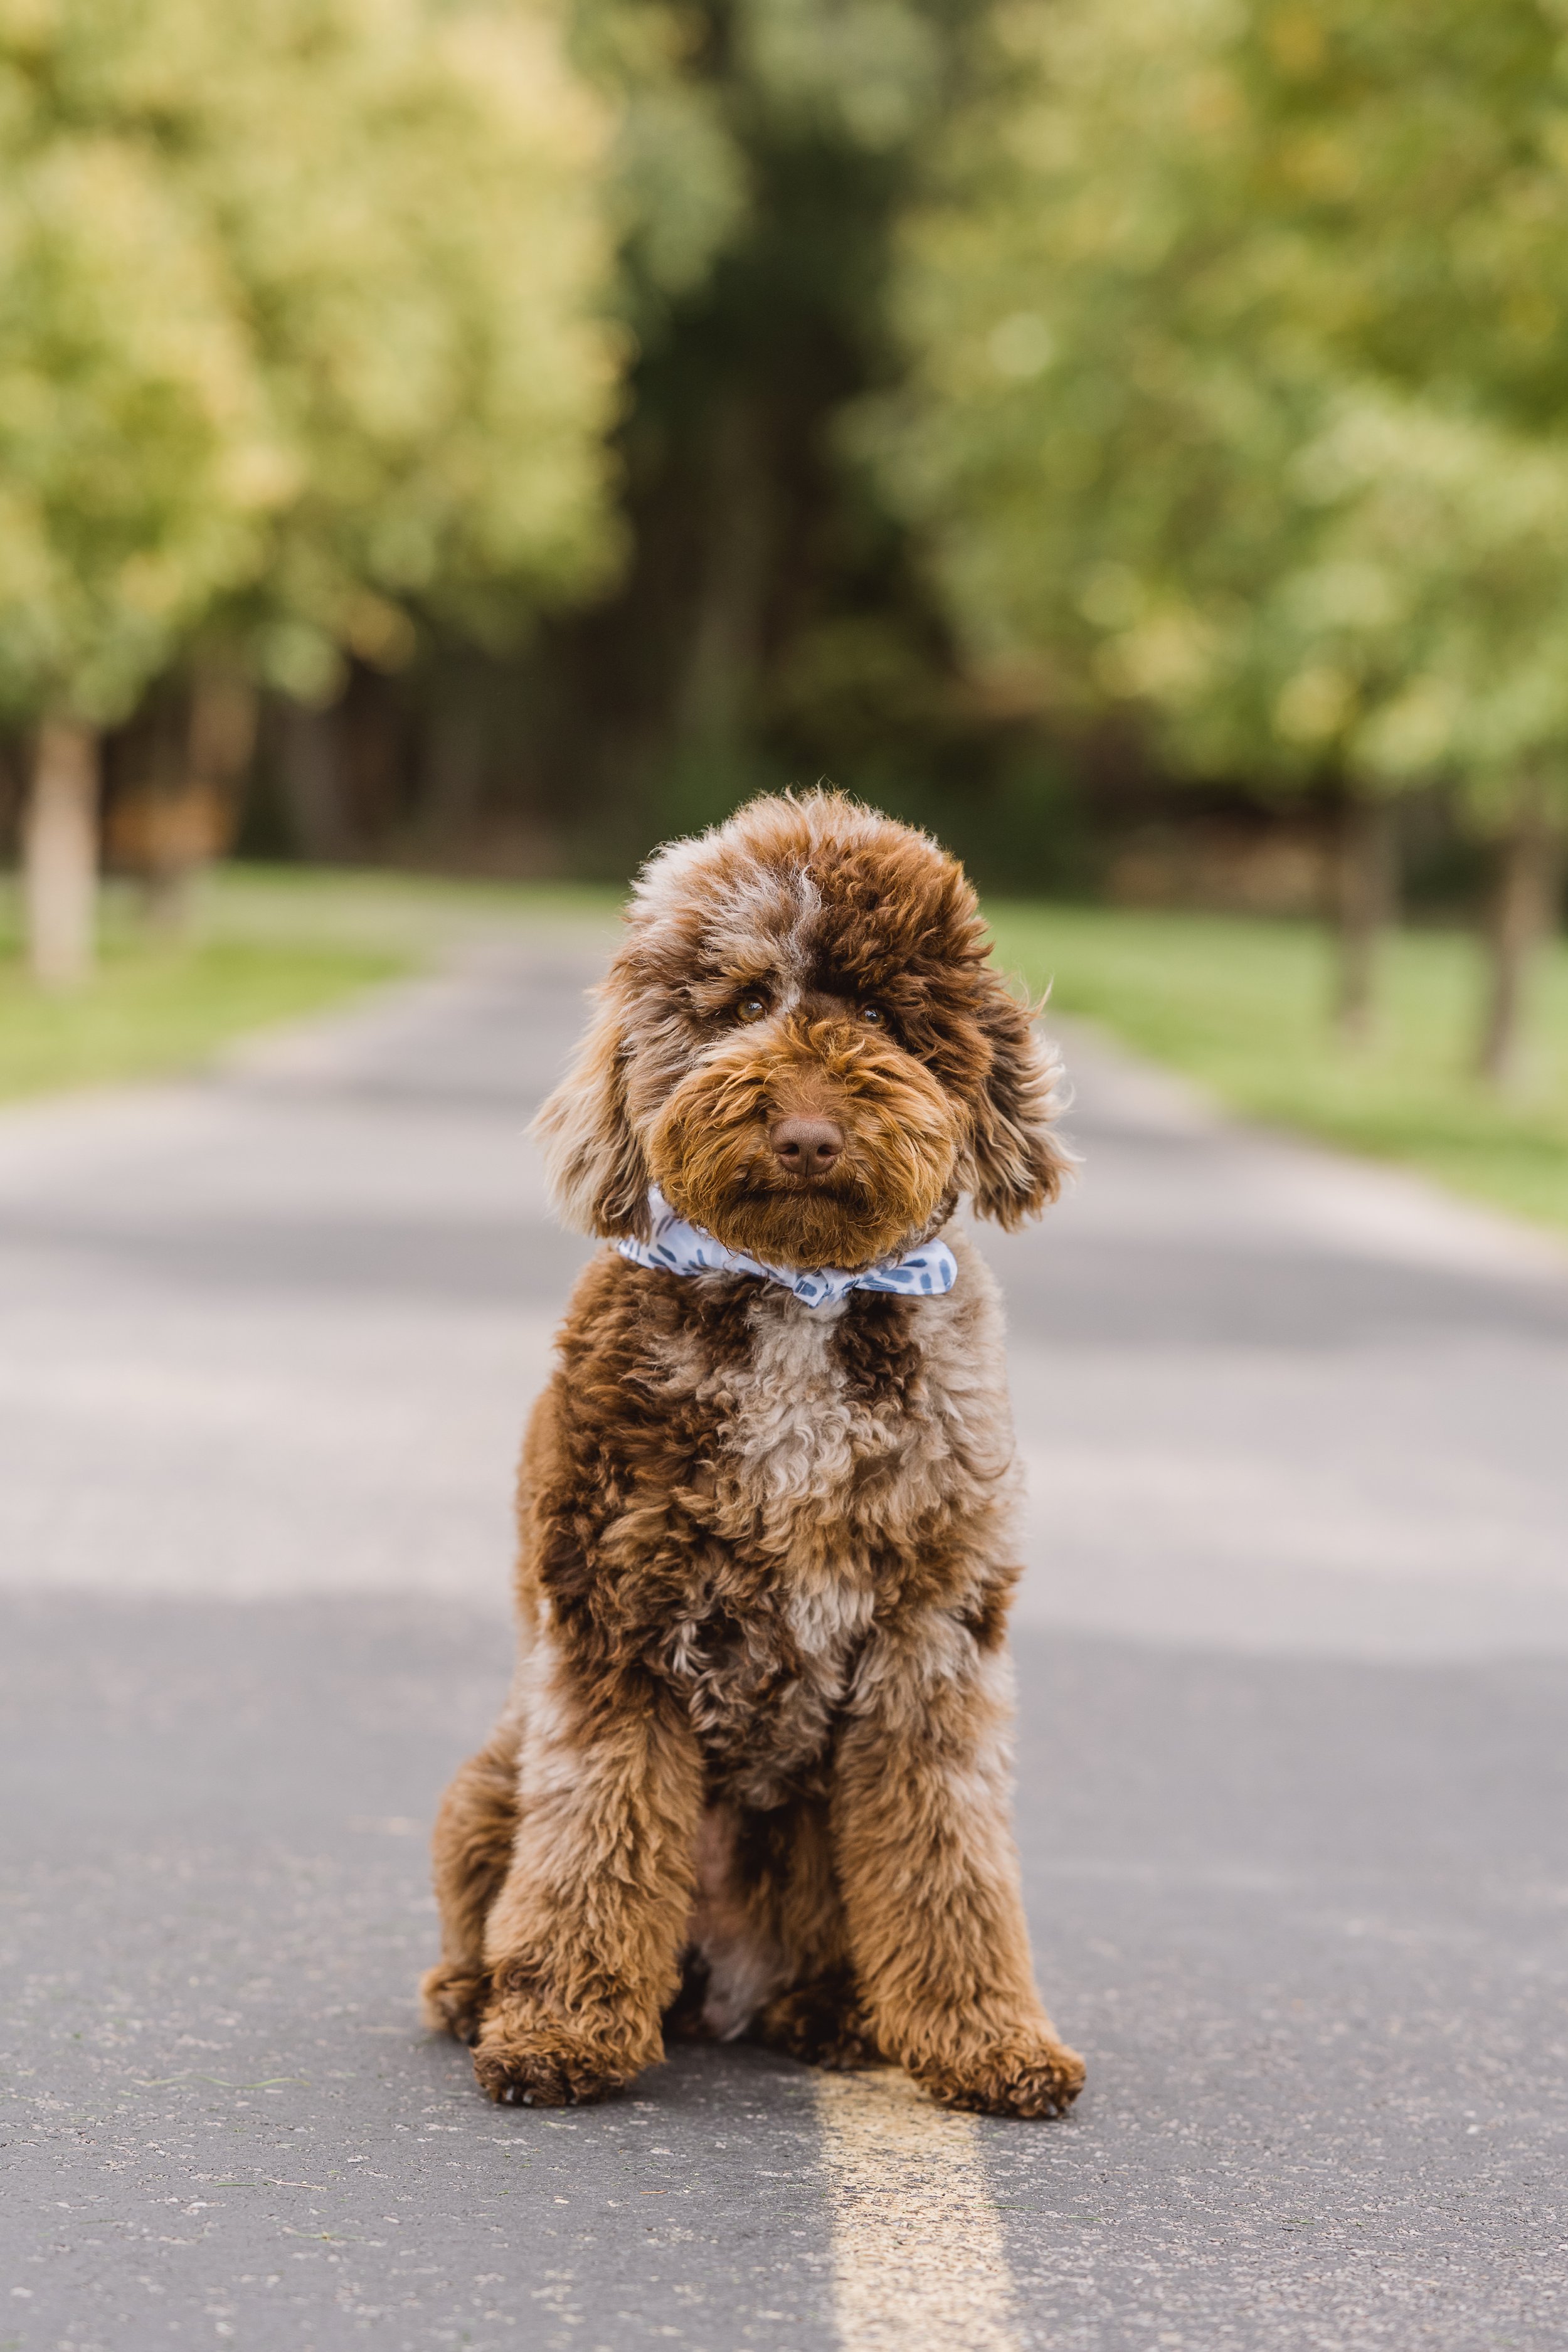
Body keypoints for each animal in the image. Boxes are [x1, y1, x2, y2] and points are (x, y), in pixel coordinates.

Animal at [423, 800, 1086, 2126]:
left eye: (881, 1012)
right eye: (735, 1003)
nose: (807, 1133)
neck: (797, 1295)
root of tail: (722, 1986)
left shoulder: (933, 1648)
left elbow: (951, 1862)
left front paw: (986, 2039)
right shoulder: (614, 1637)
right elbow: (595, 1845)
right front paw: (561, 2029)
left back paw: (833, 2016)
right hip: (489, 1782)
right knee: (497, 1892)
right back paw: (479, 1993)